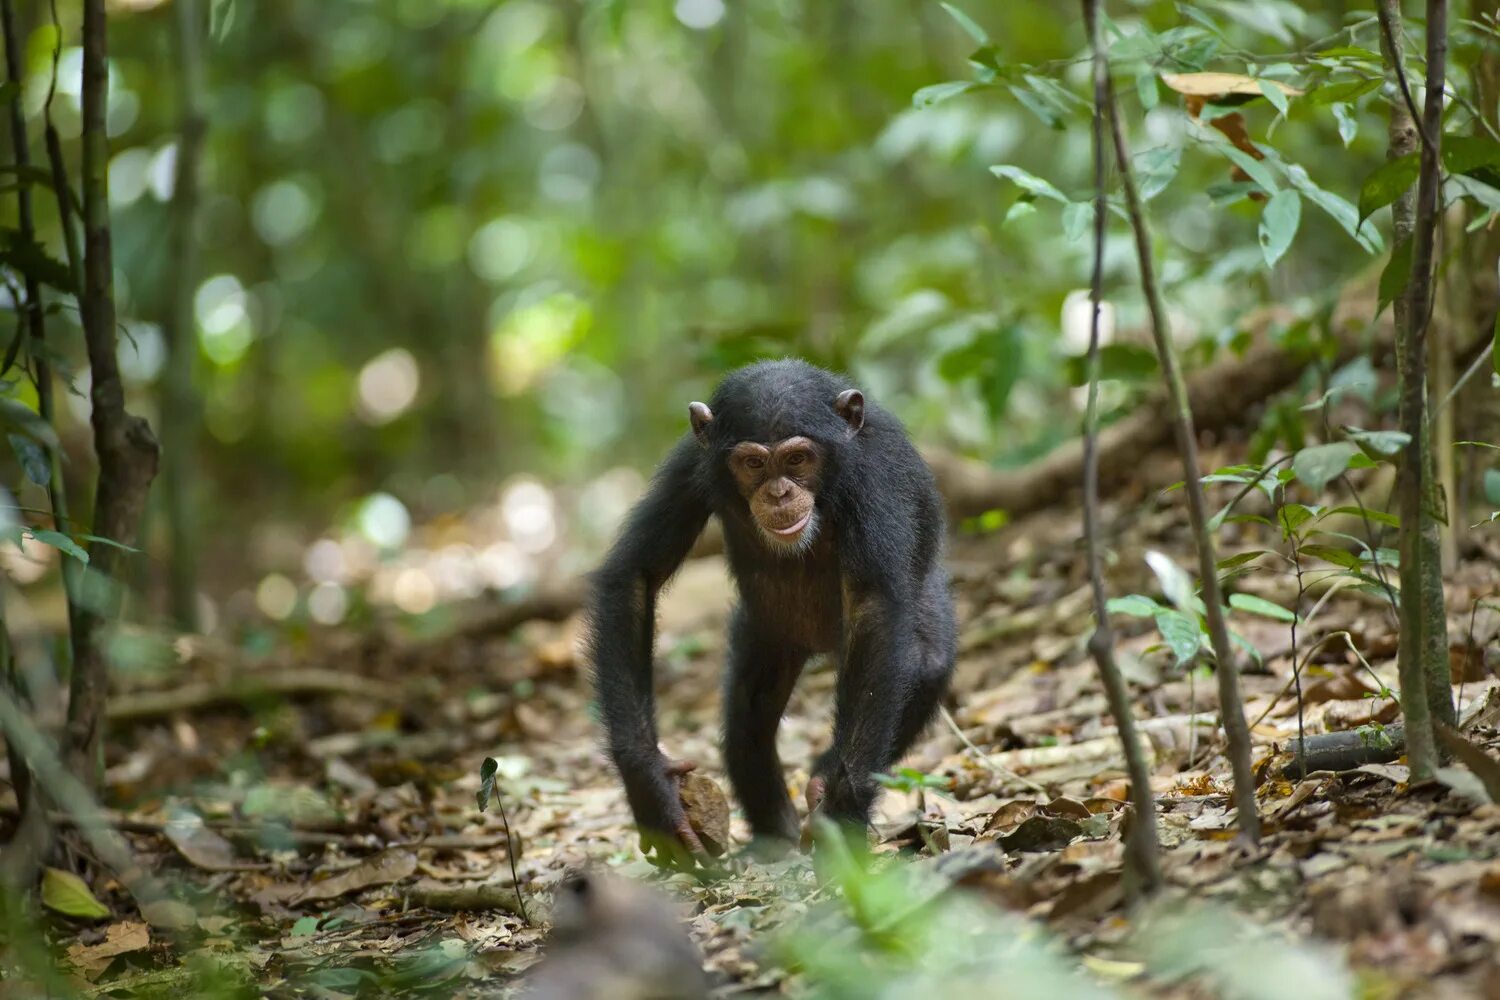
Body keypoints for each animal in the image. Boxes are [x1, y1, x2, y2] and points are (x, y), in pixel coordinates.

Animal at [579, 361, 954, 869]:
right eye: (754, 464)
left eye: (797, 459)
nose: (779, 493)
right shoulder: (688, 465)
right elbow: (635, 576)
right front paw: (653, 789)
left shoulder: (875, 481)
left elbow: (874, 611)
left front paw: (842, 814)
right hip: (767, 633)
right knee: (747, 716)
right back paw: (774, 832)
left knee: (926, 664)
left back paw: (821, 779)